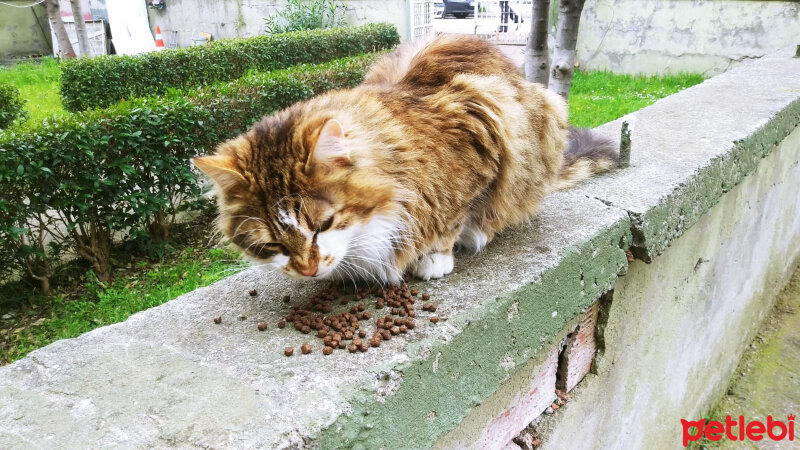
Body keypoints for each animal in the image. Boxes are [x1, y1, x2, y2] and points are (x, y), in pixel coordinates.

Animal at [194, 35, 620, 284]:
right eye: (272, 244)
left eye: (323, 224)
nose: (307, 269)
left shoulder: (483, 123)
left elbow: (453, 216)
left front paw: (435, 257)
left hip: (543, 116)